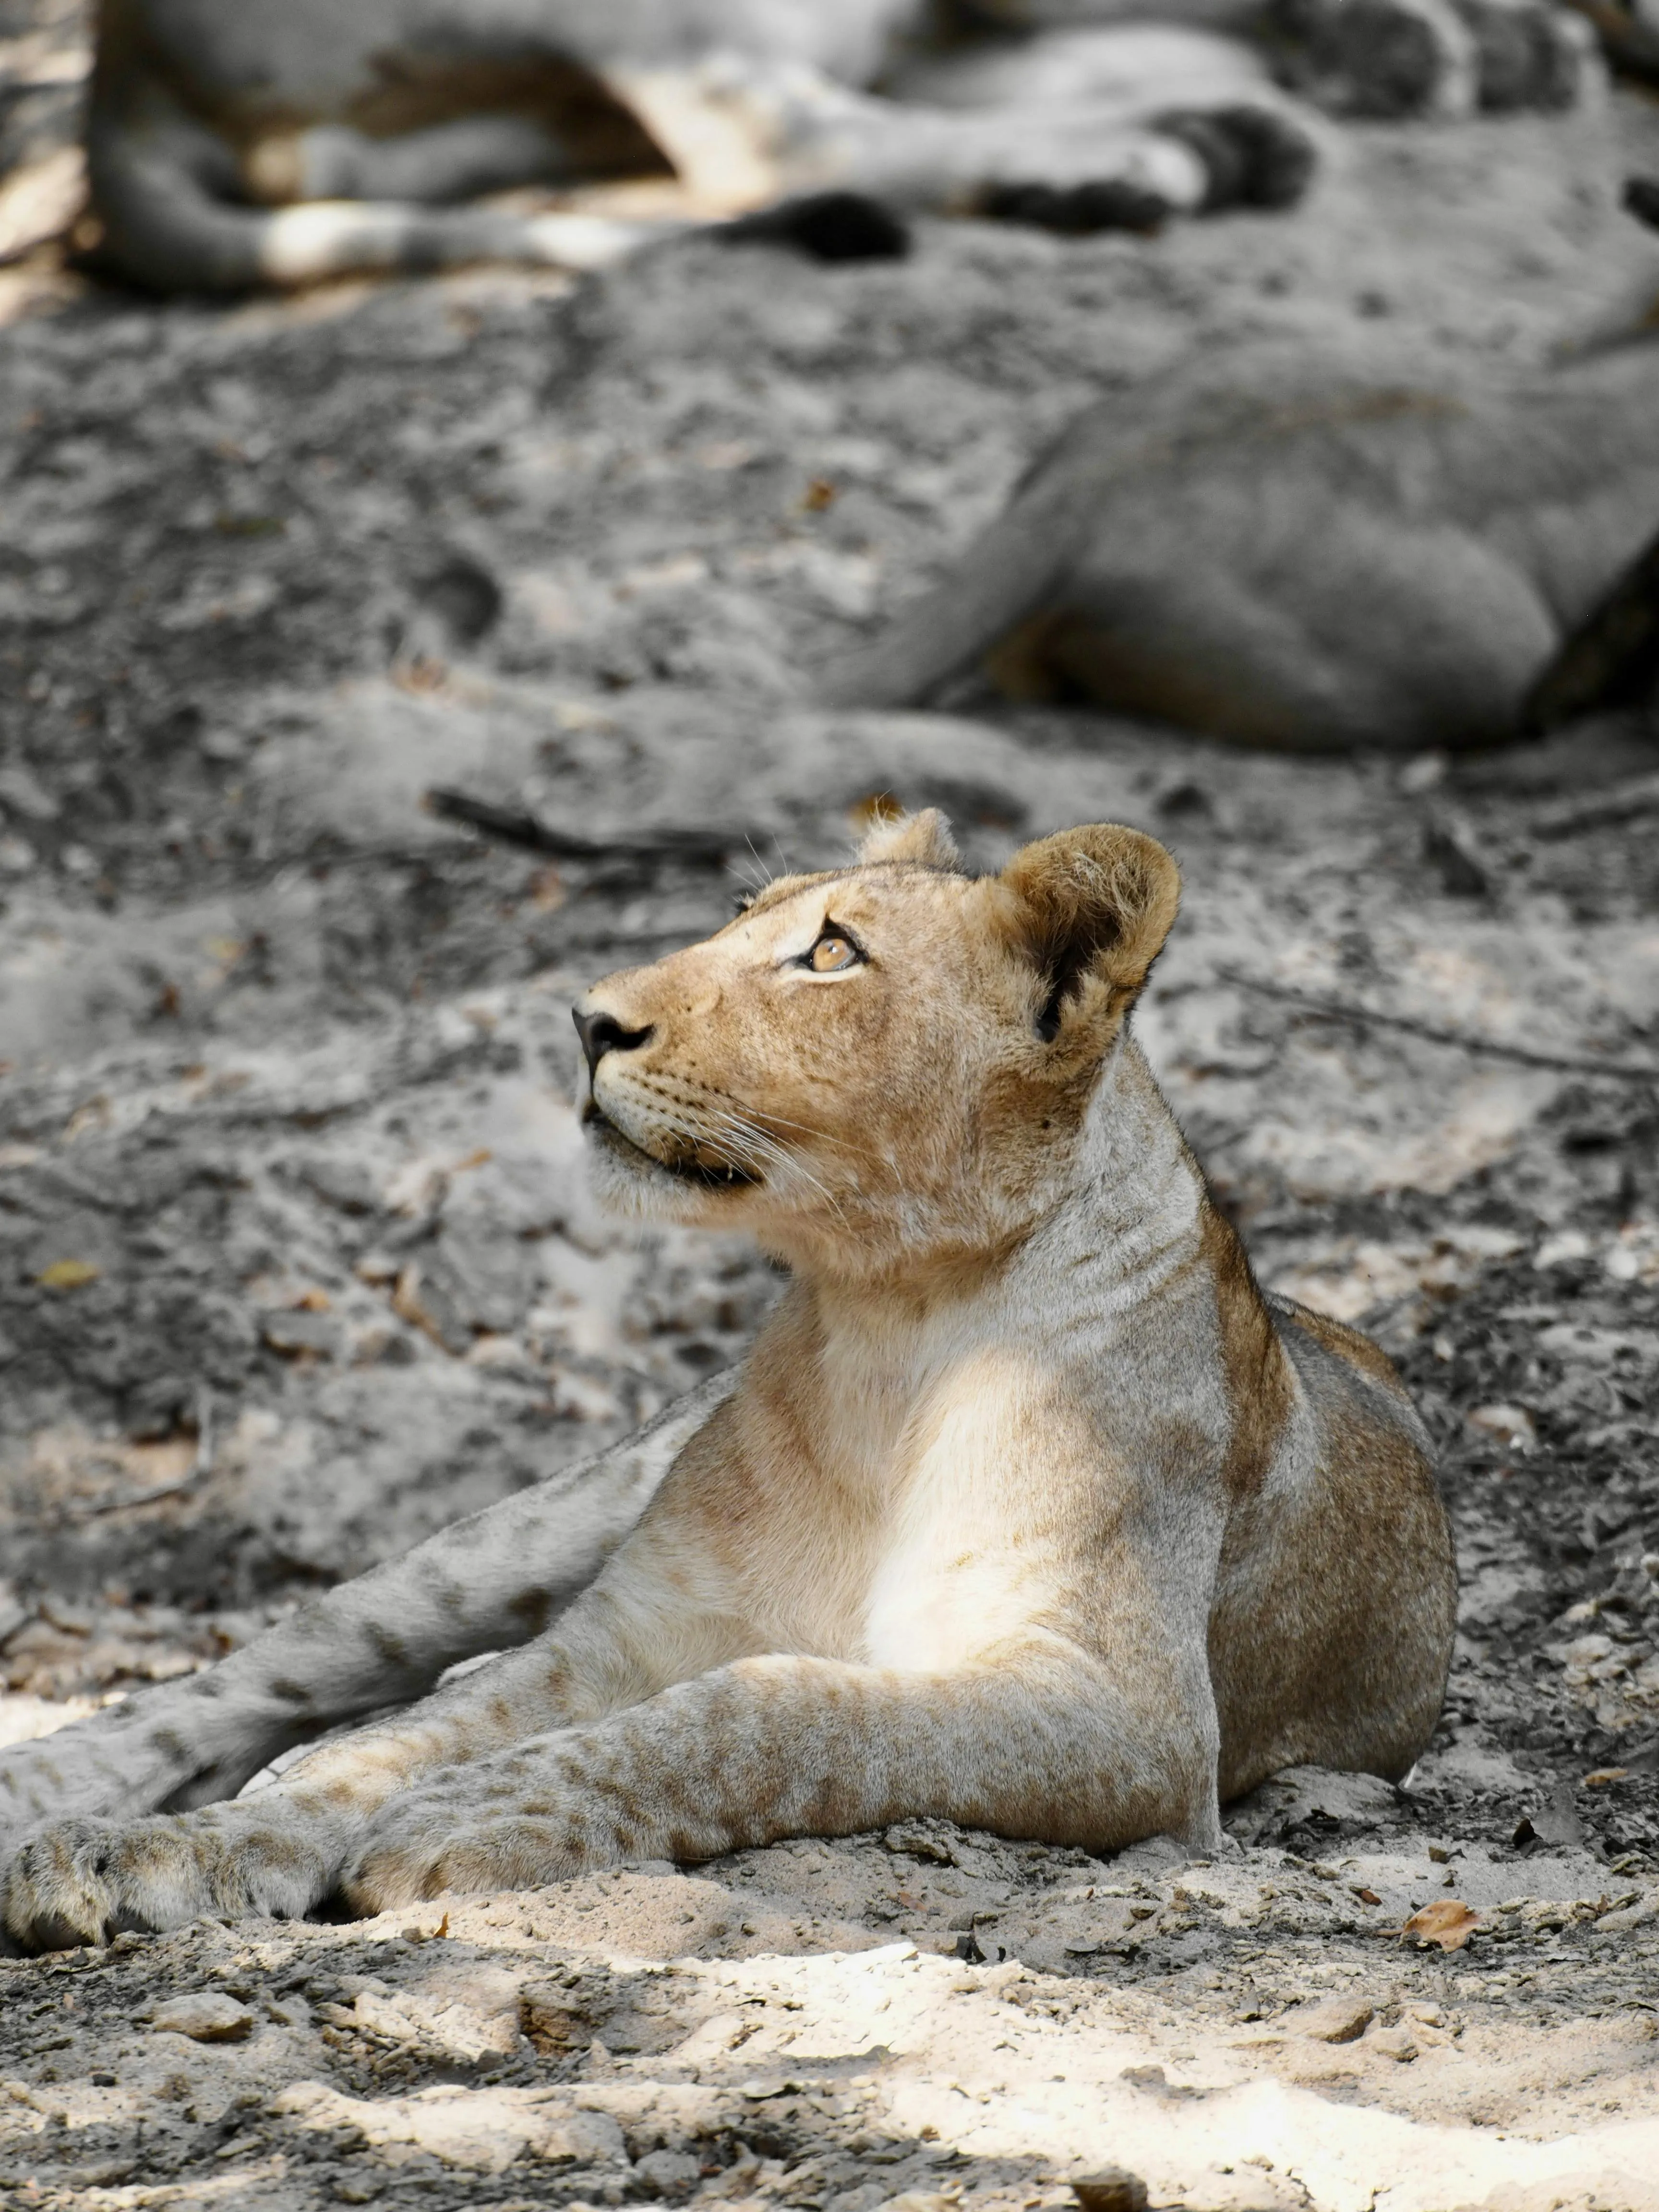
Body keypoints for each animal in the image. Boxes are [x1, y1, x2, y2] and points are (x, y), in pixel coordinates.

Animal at [0, 811, 1454, 1952]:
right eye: (738, 916)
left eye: (830, 953)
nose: (589, 1020)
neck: (887, 1327)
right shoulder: (631, 1627)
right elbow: (413, 1737)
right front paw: (157, 1849)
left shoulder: (1129, 1717)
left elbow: (769, 1709)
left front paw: (479, 1813)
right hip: (530, 1525)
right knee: (280, 1674)